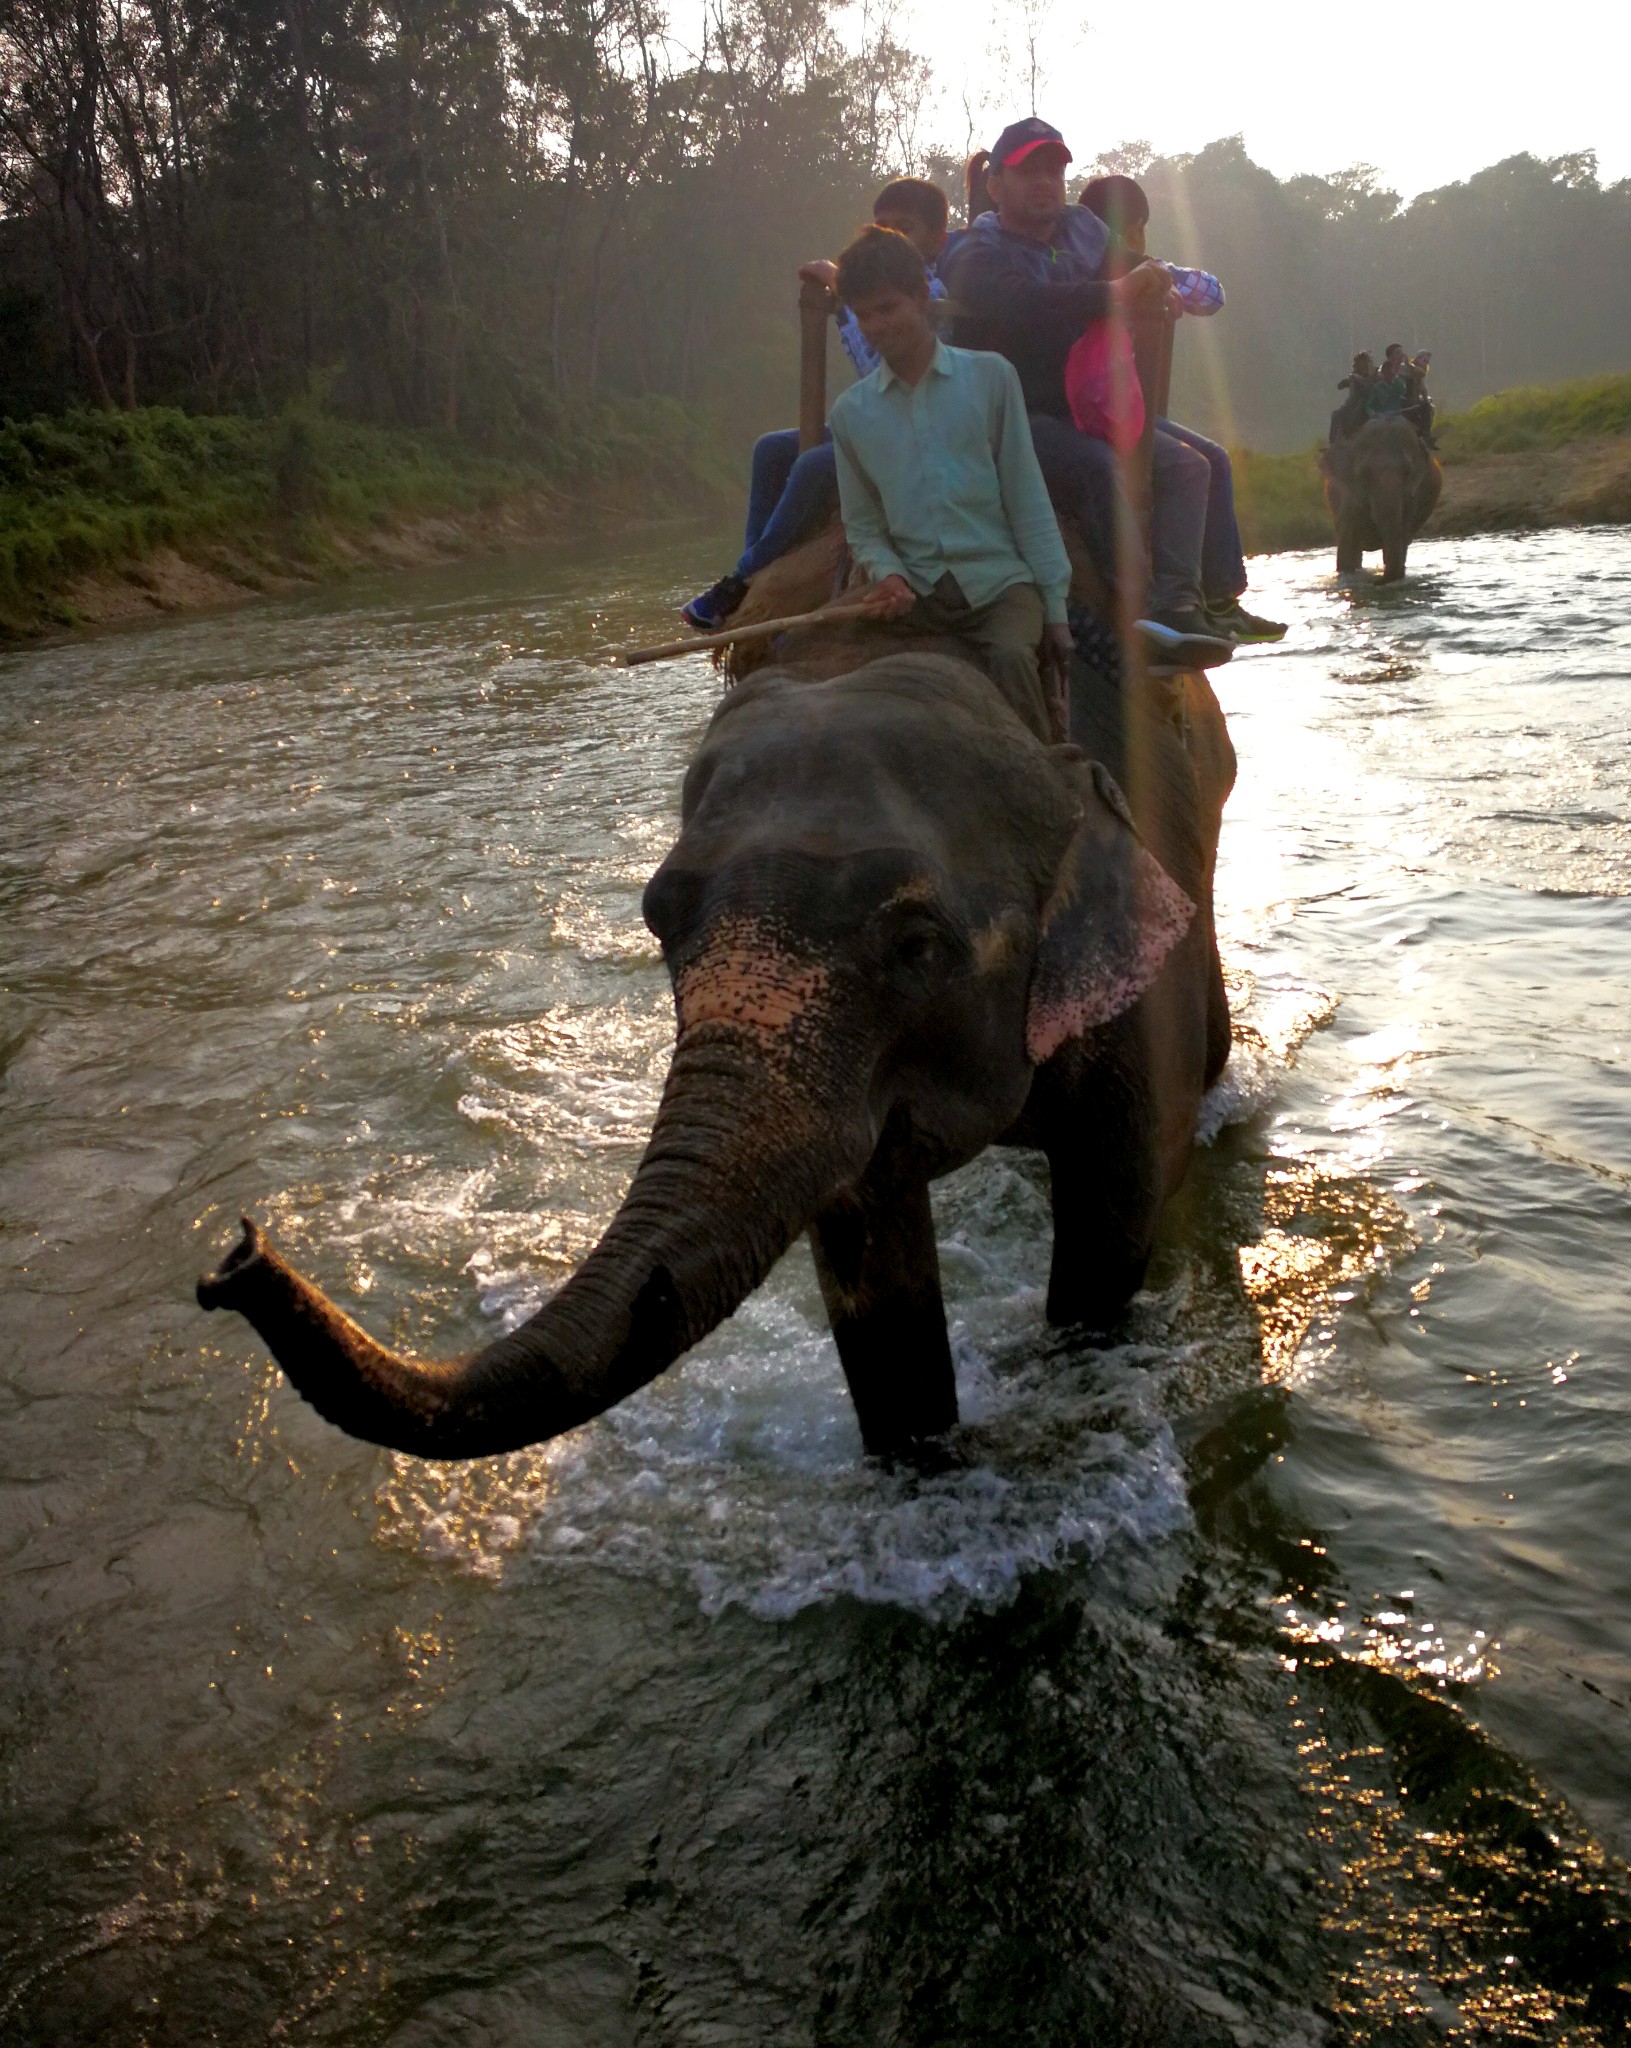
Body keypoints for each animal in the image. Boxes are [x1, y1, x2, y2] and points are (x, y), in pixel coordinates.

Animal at [1327, 411, 1442, 581]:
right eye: (1365, 474)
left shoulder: (1413, 496)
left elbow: (1401, 532)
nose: (1379, 581)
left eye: (1407, 472)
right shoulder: (1347, 493)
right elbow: (1347, 542)